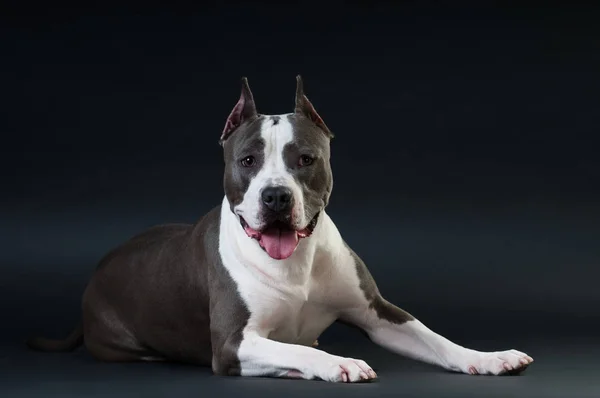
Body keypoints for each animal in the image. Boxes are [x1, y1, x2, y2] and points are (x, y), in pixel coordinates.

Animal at [27, 75, 536, 382]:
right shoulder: (234, 345)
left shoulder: (377, 313)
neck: (298, 264)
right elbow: (299, 351)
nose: (275, 197)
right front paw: (338, 363)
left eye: (305, 159)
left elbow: (433, 337)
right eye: (247, 160)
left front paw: (488, 358)